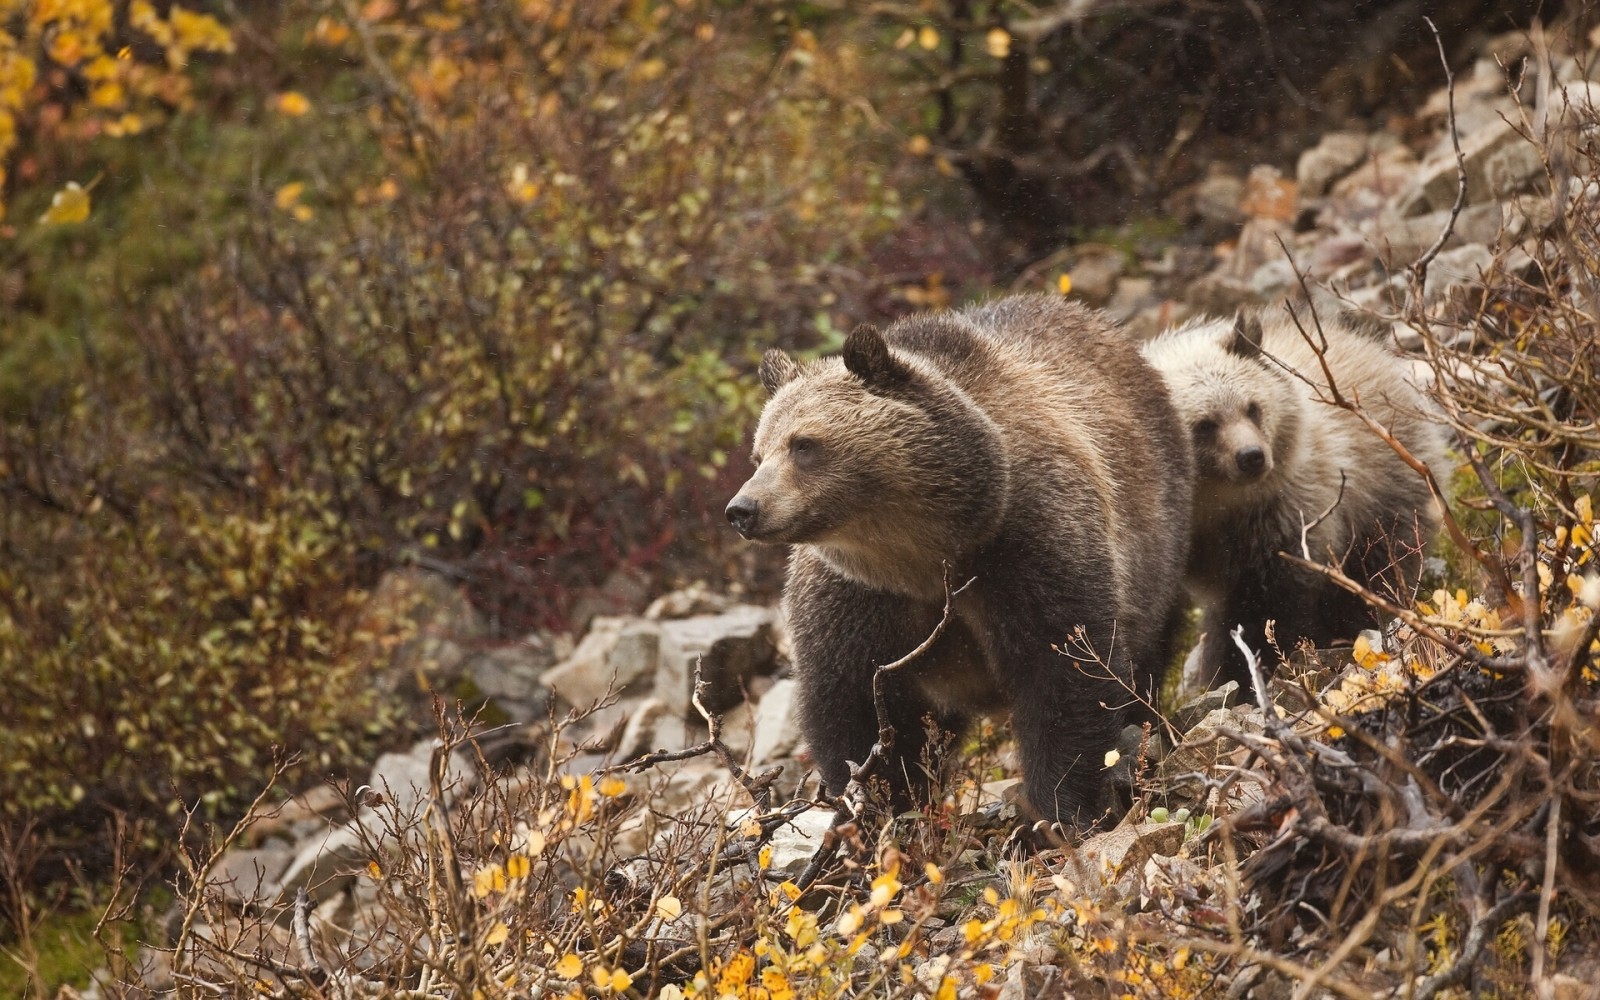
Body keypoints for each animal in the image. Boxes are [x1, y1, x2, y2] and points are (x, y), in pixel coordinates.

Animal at [732, 296, 1196, 825]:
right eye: (758, 454)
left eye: (804, 444)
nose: (743, 509)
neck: (925, 554)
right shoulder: (856, 597)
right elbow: (854, 705)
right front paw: (878, 805)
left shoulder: (1029, 543)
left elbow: (1064, 670)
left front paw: (1064, 805)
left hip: (1158, 539)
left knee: (1147, 653)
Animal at [1139, 312, 1452, 694]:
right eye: (1205, 424)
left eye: (1252, 407)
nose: (1252, 457)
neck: (1212, 505)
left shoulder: (1281, 518)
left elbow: (1269, 604)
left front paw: (1254, 669)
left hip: (1384, 489)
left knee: (1376, 569)